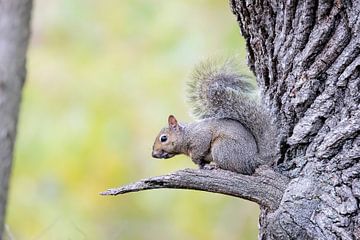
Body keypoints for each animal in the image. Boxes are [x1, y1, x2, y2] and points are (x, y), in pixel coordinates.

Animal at [150, 58, 278, 174]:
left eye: (163, 138)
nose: (153, 154)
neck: (185, 135)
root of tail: (252, 160)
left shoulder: (200, 137)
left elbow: (199, 151)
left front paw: (196, 160)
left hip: (222, 148)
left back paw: (216, 166)